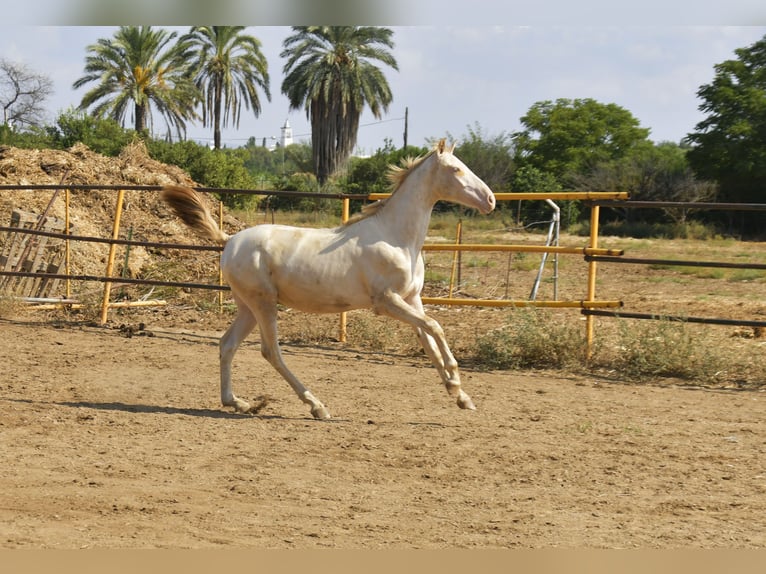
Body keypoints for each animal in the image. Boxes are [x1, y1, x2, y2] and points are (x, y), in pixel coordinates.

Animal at [162, 139, 498, 418]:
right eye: (456, 169)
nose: (491, 200)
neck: (396, 238)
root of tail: (229, 240)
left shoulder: (412, 298)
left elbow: (428, 340)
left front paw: (461, 396)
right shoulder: (386, 301)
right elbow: (436, 327)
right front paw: (455, 381)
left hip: (247, 306)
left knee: (227, 344)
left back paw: (238, 402)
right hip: (263, 303)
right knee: (271, 352)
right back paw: (316, 406)